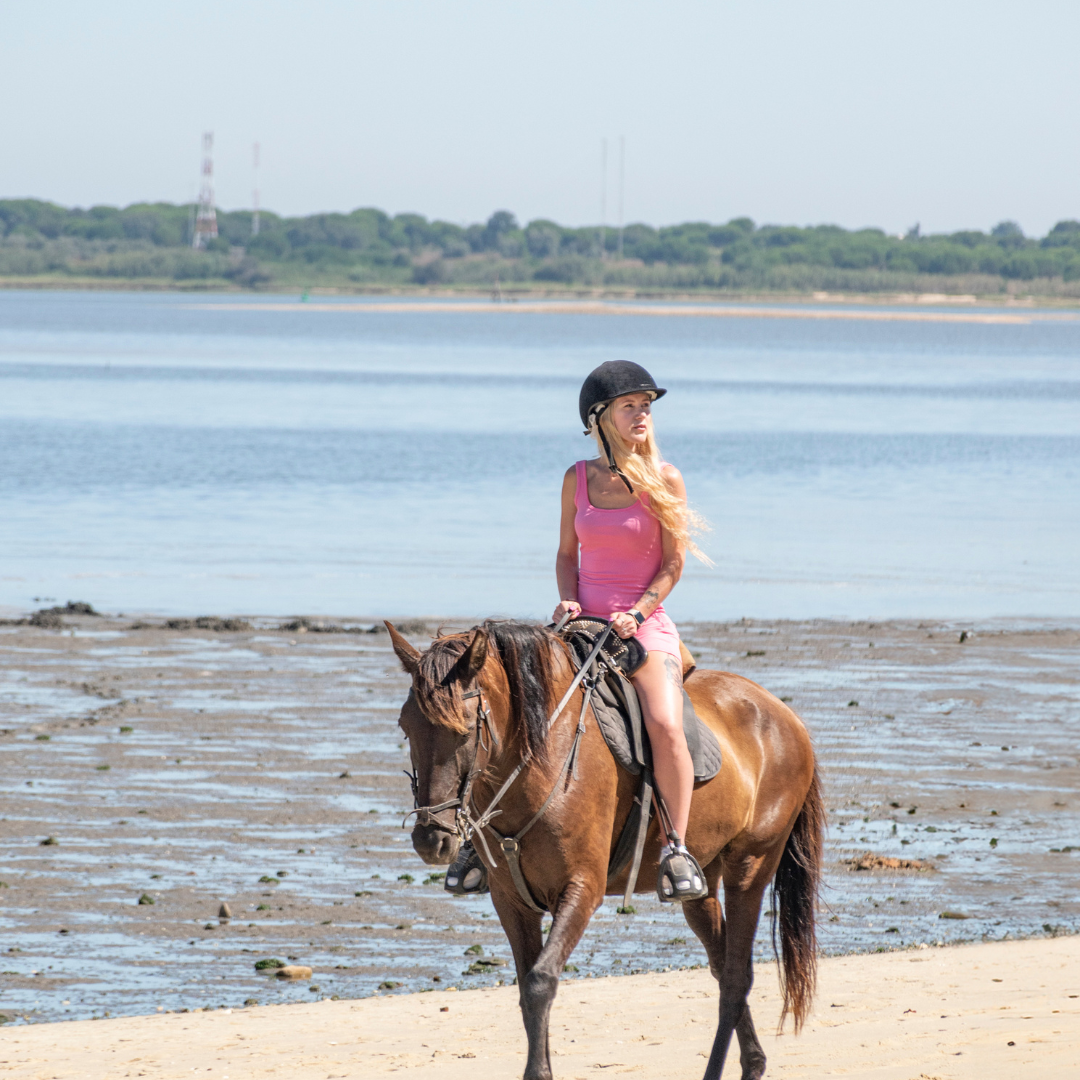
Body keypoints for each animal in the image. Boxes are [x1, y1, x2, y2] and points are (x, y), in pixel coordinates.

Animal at [393, 617, 820, 1080]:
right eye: (405, 726)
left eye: (465, 728)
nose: (430, 839)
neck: (544, 759)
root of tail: (784, 714)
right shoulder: (511, 900)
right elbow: (527, 988)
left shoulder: (581, 889)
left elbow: (541, 982)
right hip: (703, 884)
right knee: (723, 966)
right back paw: (753, 1062)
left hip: (750, 868)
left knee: (736, 978)